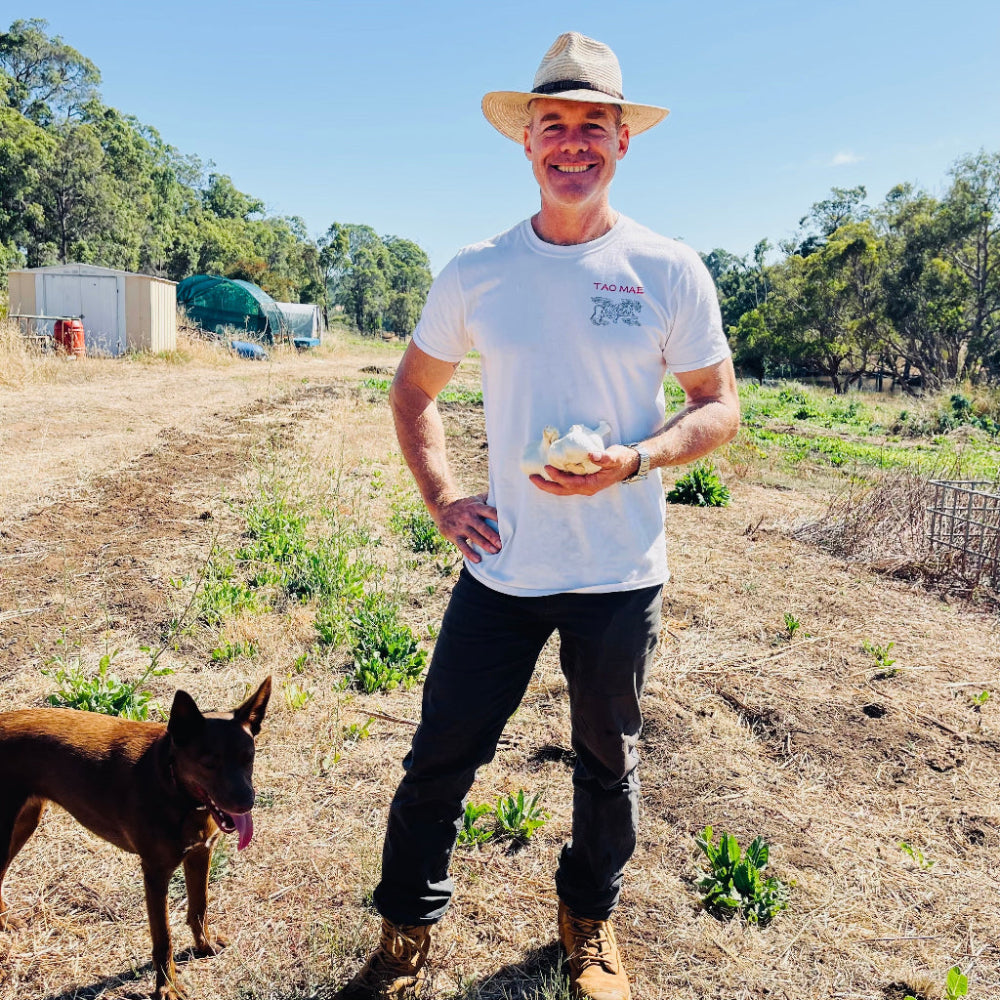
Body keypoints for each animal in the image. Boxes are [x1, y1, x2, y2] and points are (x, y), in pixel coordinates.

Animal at [0, 676, 274, 996]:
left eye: (249, 757)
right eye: (209, 763)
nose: (246, 803)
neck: (173, 785)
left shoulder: (200, 853)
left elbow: (199, 907)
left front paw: (203, 945)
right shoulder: (155, 873)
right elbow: (163, 938)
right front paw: (167, 988)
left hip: (25, 821)